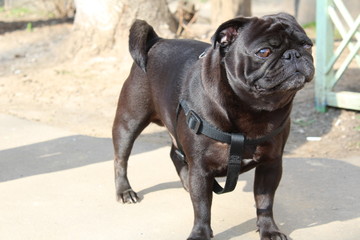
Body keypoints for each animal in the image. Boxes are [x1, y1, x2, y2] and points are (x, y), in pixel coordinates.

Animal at [112, 13, 316, 240]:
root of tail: (157, 40)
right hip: (129, 121)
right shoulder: (201, 169)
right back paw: (124, 191)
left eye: (307, 45)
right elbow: (202, 207)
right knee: (121, 158)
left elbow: (265, 201)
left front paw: (269, 230)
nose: (293, 54)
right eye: (264, 52)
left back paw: (185, 181)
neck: (253, 109)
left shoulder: (270, 164)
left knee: (175, 153)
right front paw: (200, 234)